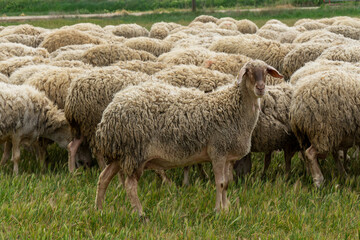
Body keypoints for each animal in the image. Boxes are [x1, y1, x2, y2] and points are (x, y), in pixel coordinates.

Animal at [95, 59, 284, 216]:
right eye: (248, 71)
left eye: (266, 71)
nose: (261, 88)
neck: (233, 108)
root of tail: (110, 111)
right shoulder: (217, 151)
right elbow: (220, 183)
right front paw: (219, 211)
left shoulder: (228, 156)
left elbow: (227, 183)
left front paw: (227, 208)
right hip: (134, 152)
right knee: (130, 185)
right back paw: (140, 214)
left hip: (122, 153)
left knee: (103, 178)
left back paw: (100, 210)